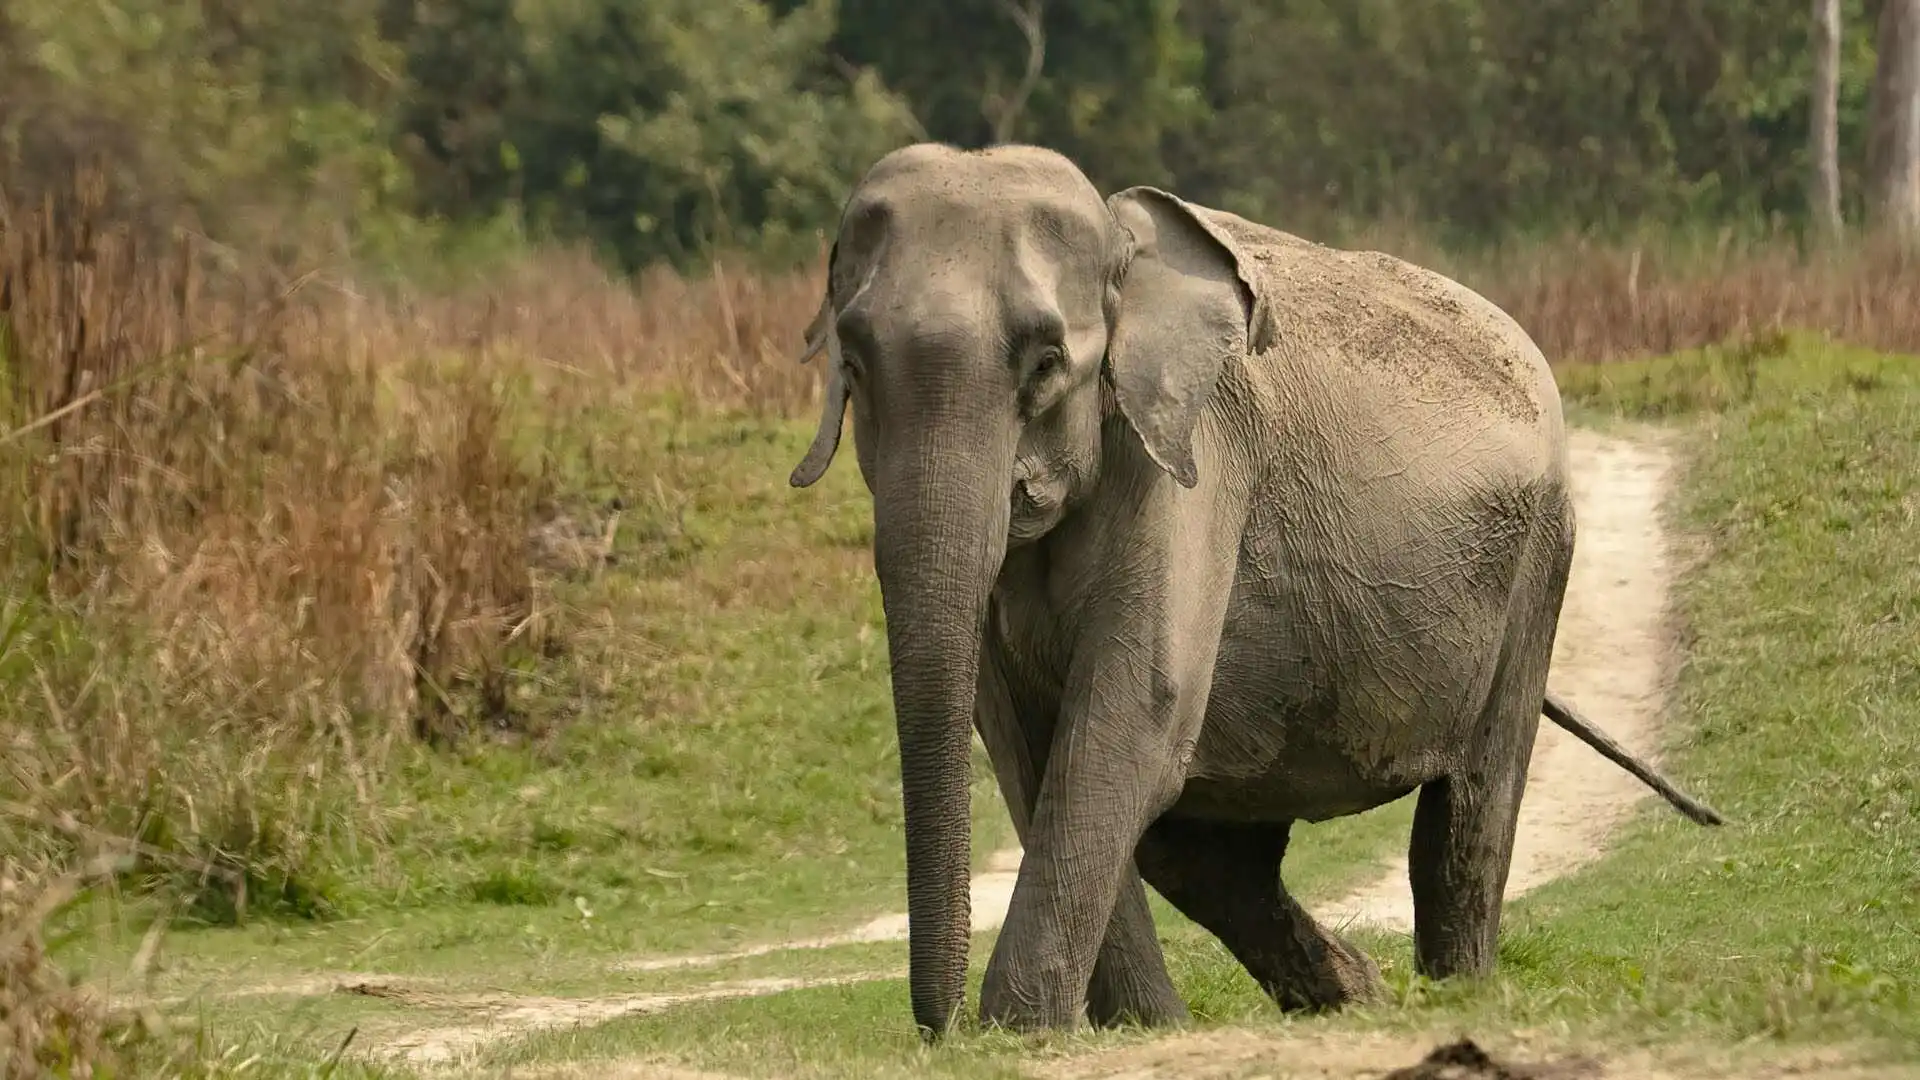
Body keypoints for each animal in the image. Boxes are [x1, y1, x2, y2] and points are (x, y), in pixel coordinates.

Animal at [785, 142, 1724, 1038]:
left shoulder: (1195, 458)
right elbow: (1026, 743)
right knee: (1203, 851)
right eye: (853, 364)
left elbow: (1133, 715)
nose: (937, 1030)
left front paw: (1024, 1032)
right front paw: (1138, 1028)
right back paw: (1356, 994)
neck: (1123, 249)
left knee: (1467, 813)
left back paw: (1452, 992)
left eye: (1047, 364)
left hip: (1538, 564)